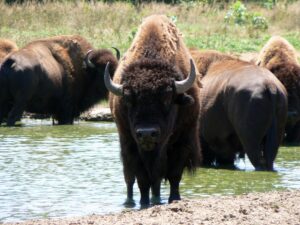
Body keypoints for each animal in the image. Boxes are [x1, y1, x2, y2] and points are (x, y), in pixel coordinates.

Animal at [105, 14, 202, 206]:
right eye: (128, 99)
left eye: (167, 97)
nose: (147, 133)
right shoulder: (132, 144)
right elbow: (142, 178)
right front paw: (145, 201)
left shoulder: (182, 140)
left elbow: (173, 174)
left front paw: (173, 198)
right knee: (129, 178)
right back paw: (130, 202)